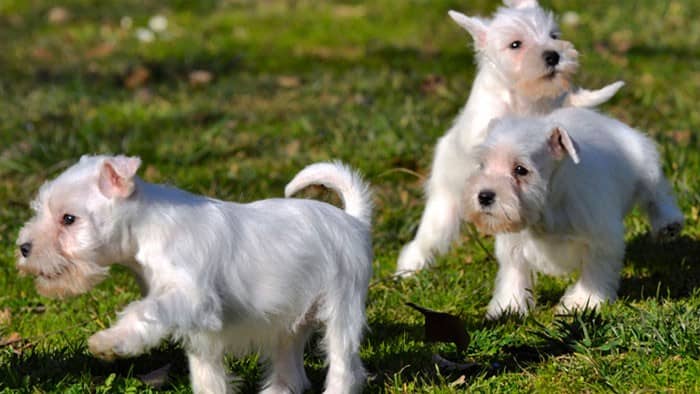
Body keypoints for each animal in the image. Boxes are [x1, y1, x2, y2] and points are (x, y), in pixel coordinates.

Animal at [16, 155, 374, 392]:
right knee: (290, 370)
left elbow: (143, 312)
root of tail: (353, 221)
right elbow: (206, 376)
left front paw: (110, 341)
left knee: (344, 368)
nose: (23, 247)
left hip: (342, 312)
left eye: (69, 219)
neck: (148, 230)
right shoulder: (199, 331)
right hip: (289, 322)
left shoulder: (190, 299)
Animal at [396, 0, 628, 274]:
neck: (524, 99)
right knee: (426, 238)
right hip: (444, 205)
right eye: (515, 44)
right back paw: (410, 267)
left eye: (553, 36)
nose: (554, 56)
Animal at [464, 107, 684, 318]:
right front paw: (509, 306)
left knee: (656, 193)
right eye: (482, 165)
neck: (548, 207)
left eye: (520, 169)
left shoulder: (601, 239)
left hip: (644, 164)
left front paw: (583, 301)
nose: (484, 196)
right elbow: (514, 271)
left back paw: (668, 222)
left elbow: (594, 271)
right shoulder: (513, 243)